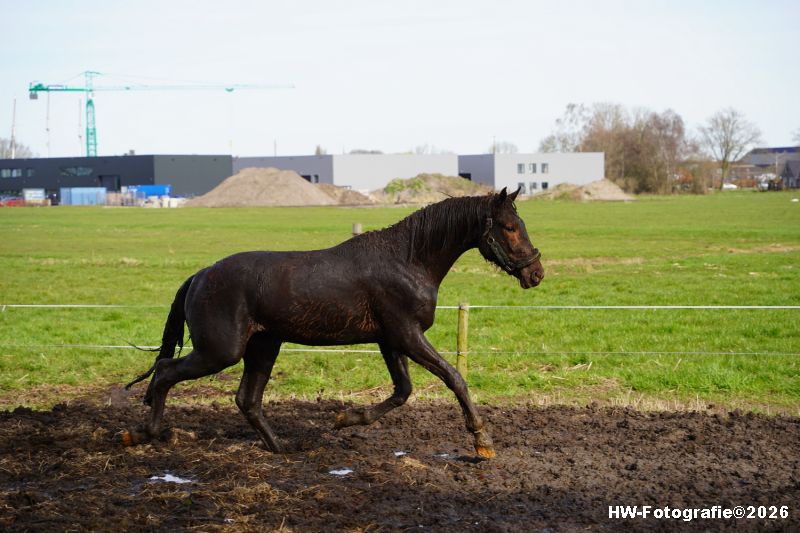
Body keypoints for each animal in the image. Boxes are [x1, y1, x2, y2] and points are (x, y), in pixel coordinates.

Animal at [122, 187, 544, 458]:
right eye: (508, 227)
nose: (536, 273)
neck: (408, 260)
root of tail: (200, 275)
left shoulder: (391, 340)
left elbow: (402, 391)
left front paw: (345, 418)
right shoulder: (406, 335)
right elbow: (454, 378)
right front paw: (482, 443)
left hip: (263, 346)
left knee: (247, 400)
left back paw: (282, 448)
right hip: (220, 350)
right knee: (165, 371)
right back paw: (144, 433)